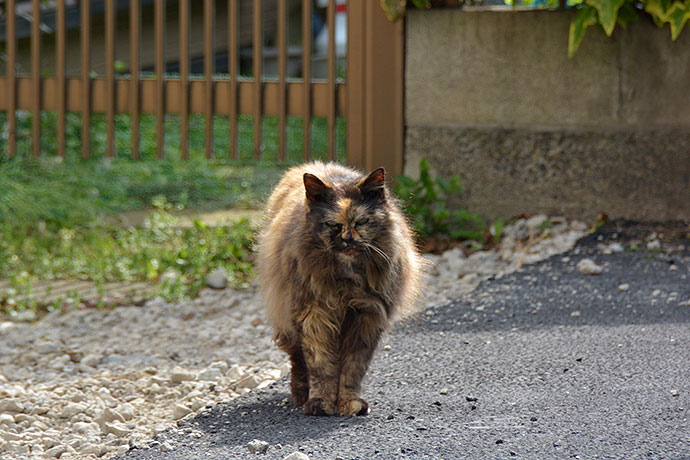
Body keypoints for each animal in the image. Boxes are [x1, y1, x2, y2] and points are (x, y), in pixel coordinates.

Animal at [255, 163, 422, 416]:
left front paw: (348, 403)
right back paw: (301, 395)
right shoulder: (315, 314)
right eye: (333, 224)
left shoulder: (367, 316)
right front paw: (321, 402)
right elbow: (321, 365)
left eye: (362, 221)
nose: (348, 239)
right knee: (298, 360)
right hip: (287, 315)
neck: (347, 279)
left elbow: (352, 368)